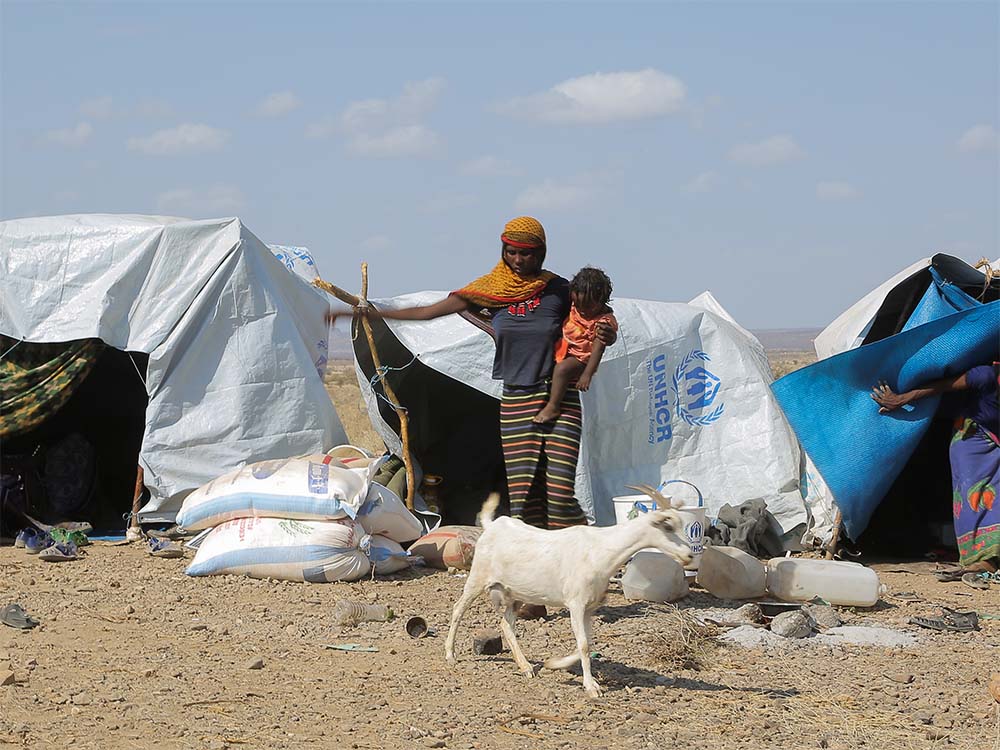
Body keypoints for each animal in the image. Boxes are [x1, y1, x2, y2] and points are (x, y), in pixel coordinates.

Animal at [442, 494, 692, 700]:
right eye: (667, 526)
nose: (689, 555)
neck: (601, 549)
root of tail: (492, 526)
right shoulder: (576, 603)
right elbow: (583, 645)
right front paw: (592, 687)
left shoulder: (590, 607)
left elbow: (588, 642)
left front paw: (554, 664)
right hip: (478, 578)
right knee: (458, 609)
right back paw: (451, 655)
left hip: (517, 593)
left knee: (506, 624)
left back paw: (526, 667)